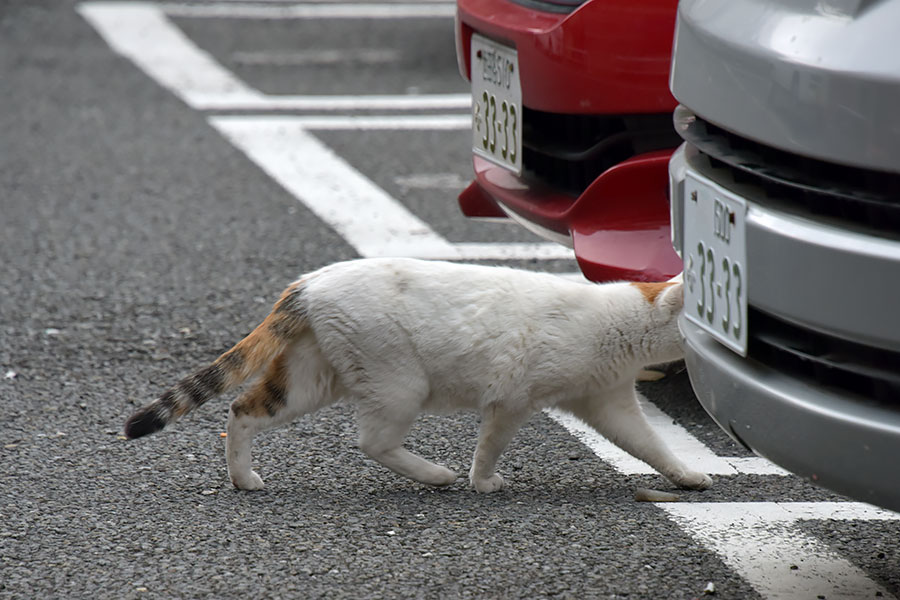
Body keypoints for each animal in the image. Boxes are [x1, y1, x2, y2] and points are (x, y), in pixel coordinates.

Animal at [126, 256, 712, 492]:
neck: (622, 321)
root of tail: (311, 281)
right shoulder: (514, 399)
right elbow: (491, 444)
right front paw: (482, 481)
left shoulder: (608, 401)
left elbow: (650, 445)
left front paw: (685, 476)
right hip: (399, 382)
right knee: (372, 441)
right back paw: (436, 475)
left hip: (309, 380)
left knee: (241, 410)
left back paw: (243, 478)